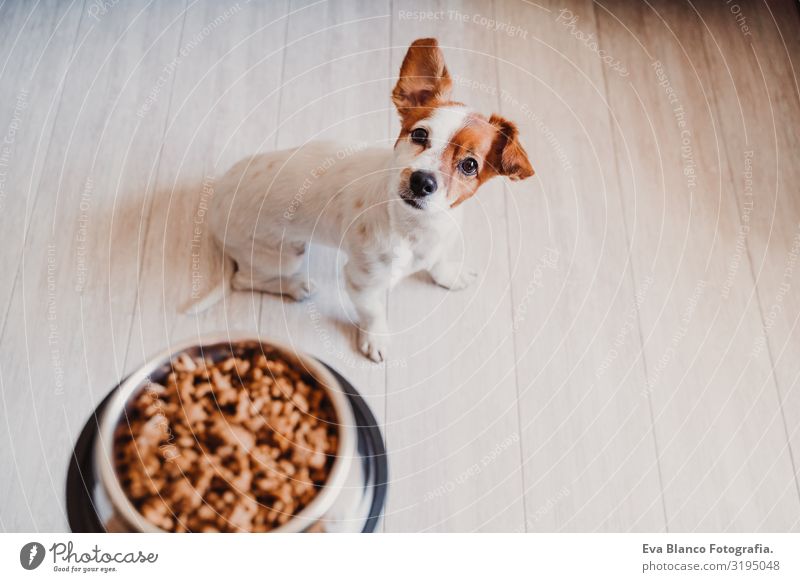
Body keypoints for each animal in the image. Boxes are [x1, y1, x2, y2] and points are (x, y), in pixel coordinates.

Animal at [191, 38, 536, 362]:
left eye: (469, 165)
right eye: (419, 135)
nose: (422, 181)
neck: (416, 229)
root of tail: (216, 202)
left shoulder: (440, 242)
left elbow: (438, 262)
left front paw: (449, 275)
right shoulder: (362, 282)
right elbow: (373, 312)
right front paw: (376, 338)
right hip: (284, 254)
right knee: (243, 279)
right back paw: (294, 286)